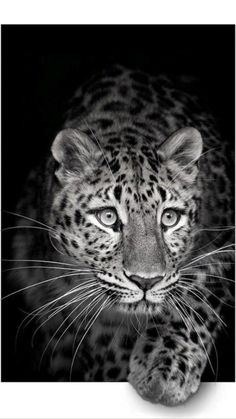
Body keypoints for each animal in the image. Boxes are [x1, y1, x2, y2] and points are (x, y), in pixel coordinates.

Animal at [5, 65, 234, 406]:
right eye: (108, 217)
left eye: (169, 217)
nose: (146, 281)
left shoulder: (226, 247)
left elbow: (198, 296)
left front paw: (164, 370)